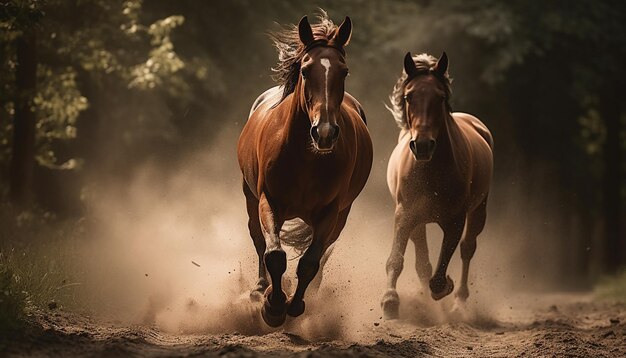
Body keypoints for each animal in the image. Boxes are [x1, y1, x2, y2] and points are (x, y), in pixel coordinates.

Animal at [234, 14, 370, 328]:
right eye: (306, 71)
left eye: (344, 72)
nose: (325, 133)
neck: (307, 157)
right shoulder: (268, 201)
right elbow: (274, 254)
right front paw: (273, 306)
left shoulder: (330, 212)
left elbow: (310, 261)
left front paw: (294, 305)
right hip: (249, 196)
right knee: (259, 239)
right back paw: (260, 288)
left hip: (341, 215)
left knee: (323, 252)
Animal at [380, 51, 492, 318]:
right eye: (409, 96)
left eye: (440, 97)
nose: (422, 145)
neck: (430, 170)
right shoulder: (405, 214)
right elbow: (397, 259)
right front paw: (390, 300)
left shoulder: (455, 220)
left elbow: (440, 274)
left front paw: (445, 288)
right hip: (419, 222)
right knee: (423, 262)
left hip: (479, 210)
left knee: (467, 248)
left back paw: (459, 302)